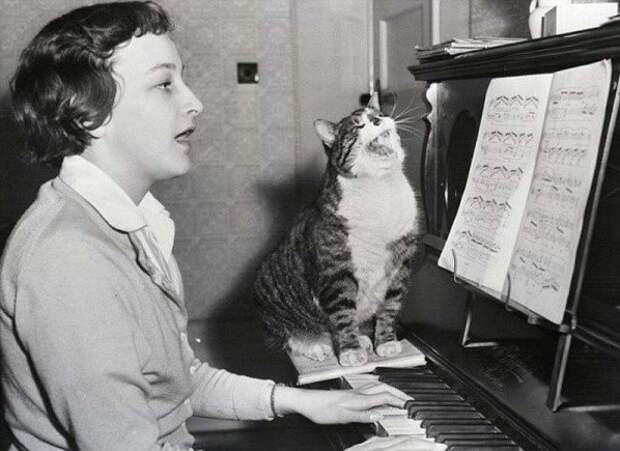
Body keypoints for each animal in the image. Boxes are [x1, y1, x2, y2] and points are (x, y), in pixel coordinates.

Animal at [255, 93, 425, 367]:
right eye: (358, 126)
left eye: (377, 114)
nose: (378, 119)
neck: (381, 189)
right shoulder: (336, 271)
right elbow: (343, 313)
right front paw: (350, 352)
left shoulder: (401, 263)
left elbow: (390, 305)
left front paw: (386, 343)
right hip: (269, 295)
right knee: (288, 335)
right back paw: (315, 345)